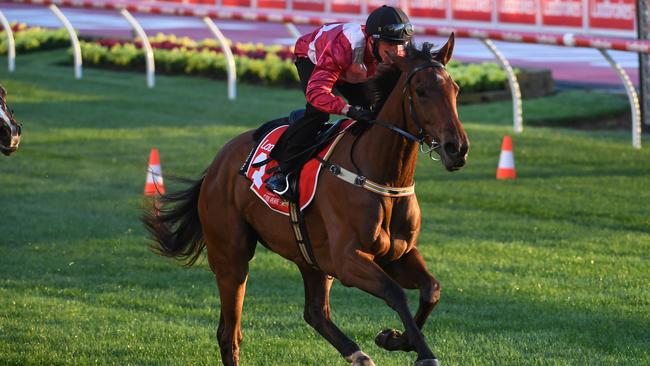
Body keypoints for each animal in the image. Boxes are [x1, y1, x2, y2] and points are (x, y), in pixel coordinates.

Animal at [144, 33, 466, 364]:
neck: (383, 177)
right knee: (229, 333)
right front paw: (422, 351)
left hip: (310, 256)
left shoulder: (398, 254)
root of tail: (216, 166)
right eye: (421, 91)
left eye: (455, 89)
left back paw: (358, 354)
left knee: (314, 312)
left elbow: (432, 289)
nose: (457, 149)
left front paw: (394, 339)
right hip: (231, 255)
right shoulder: (348, 260)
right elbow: (395, 293)